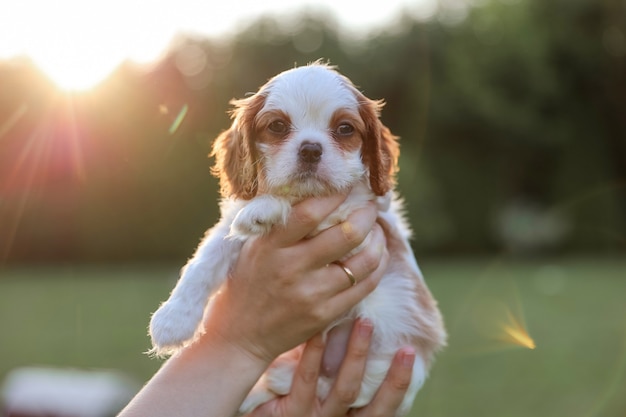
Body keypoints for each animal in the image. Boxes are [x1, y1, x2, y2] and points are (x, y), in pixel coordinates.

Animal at [149, 61, 446, 412]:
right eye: (278, 126)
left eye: (344, 129)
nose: (311, 149)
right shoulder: (227, 225)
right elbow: (204, 260)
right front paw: (172, 320)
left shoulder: (363, 215)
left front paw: (265, 209)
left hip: (399, 354)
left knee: (349, 386)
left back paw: (281, 379)